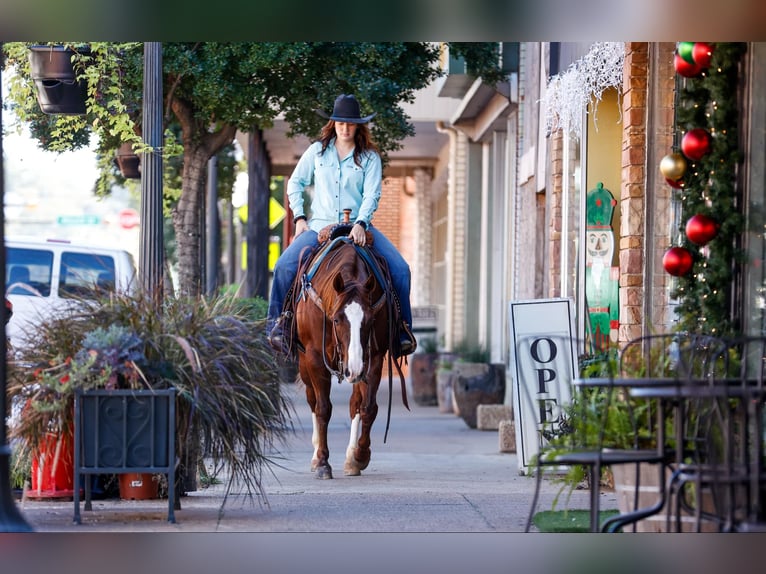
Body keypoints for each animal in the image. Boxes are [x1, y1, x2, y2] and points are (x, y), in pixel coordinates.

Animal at [296, 232, 412, 480]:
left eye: (370, 319)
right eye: (337, 319)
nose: (355, 369)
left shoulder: (373, 357)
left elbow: (367, 407)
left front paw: (360, 456)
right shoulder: (315, 357)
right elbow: (323, 408)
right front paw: (322, 462)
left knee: (354, 403)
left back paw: (351, 456)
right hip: (305, 363)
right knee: (312, 400)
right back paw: (315, 454)